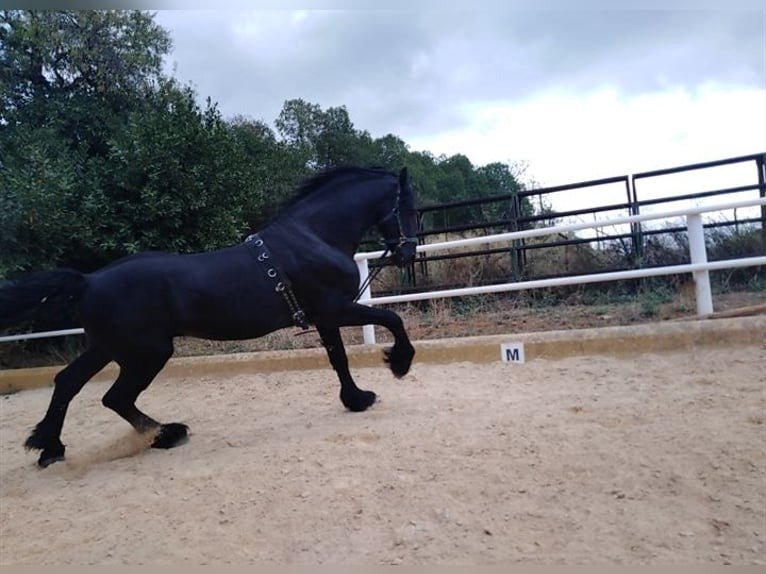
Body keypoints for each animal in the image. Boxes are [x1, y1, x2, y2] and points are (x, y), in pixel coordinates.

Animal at [0, 166, 419, 468]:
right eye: (408, 208)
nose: (407, 253)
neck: (313, 238)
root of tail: (88, 280)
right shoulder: (337, 308)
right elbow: (390, 320)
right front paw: (398, 364)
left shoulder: (324, 317)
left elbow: (339, 359)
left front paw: (356, 399)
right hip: (147, 353)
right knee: (114, 397)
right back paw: (167, 434)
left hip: (109, 348)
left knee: (68, 382)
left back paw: (50, 447)